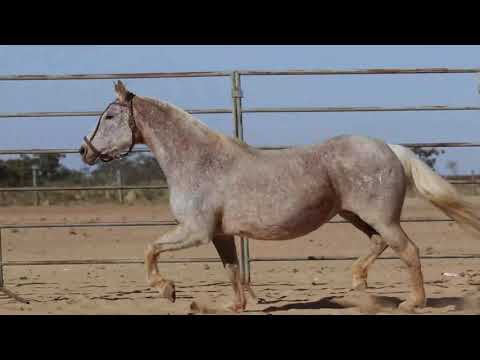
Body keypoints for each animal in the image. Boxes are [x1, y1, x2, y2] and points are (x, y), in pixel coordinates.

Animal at [79, 81, 480, 312]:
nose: (85, 151)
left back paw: (412, 302)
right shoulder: (221, 235)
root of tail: (390, 148)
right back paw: (358, 285)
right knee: (380, 244)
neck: (199, 161)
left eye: (110, 116)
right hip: (355, 215)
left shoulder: (195, 232)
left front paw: (168, 291)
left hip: (381, 217)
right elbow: (231, 270)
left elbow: (150, 249)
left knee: (408, 250)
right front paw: (232, 305)